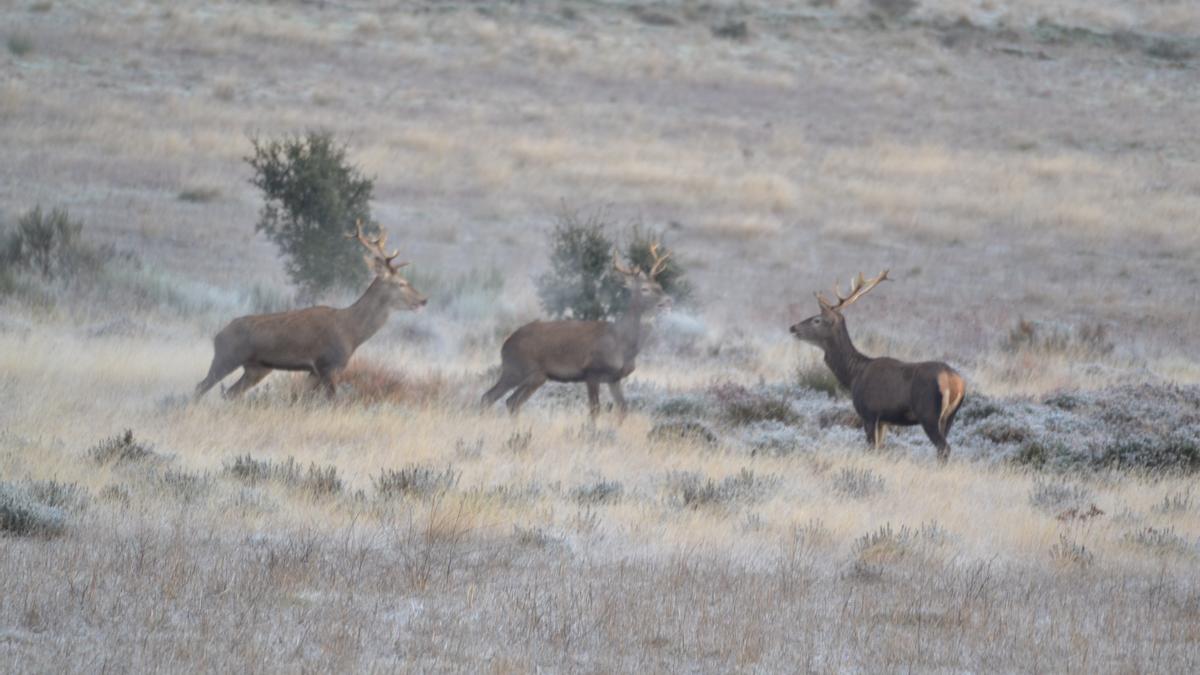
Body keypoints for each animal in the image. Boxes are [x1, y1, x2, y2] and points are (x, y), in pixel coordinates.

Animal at [193, 220, 427, 398]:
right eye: (401, 283)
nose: (424, 299)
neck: (352, 333)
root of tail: (218, 335)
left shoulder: (314, 371)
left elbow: (298, 399)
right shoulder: (328, 364)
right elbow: (332, 402)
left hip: (256, 368)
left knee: (230, 393)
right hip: (226, 357)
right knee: (200, 387)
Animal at [482, 241, 681, 417]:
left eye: (660, 286)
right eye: (644, 289)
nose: (668, 301)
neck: (622, 342)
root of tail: (505, 345)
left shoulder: (614, 378)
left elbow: (623, 409)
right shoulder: (592, 372)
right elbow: (595, 410)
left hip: (537, 376)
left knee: (511, 402)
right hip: (517, 369)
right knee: (490, 397)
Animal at [792, 270, 969, 458]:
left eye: (816, 320)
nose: (793, 328)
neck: (853, 375)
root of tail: (955, 382)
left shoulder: (869, 413)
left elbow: (872, 447)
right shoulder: (884, 420)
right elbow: (880, 448)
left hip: (929, 413)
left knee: (944, 447)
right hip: (950, 416)